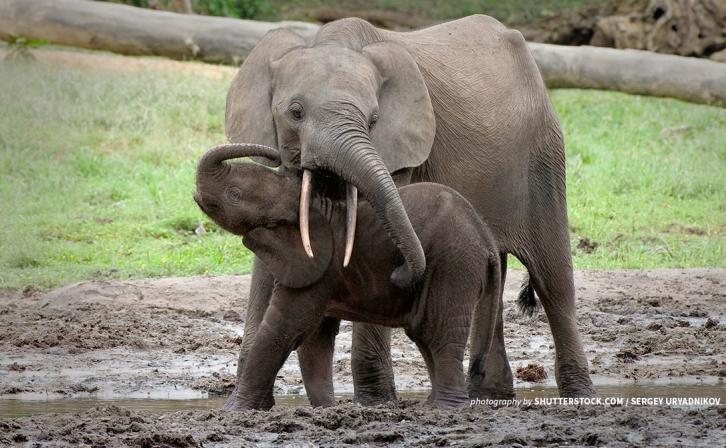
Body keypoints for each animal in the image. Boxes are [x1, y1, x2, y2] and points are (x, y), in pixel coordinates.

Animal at [193, 143, 504, 410]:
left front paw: (235, 411)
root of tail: (487, 239)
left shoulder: (318, 267)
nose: (277, 155)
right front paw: (326, 409)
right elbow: (314, 338)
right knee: (425, 335)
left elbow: (285, 329)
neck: (307, 205)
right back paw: (430, 405)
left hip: (455, 264)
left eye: (234, 194)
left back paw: (445, 408)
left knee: (439, 334)